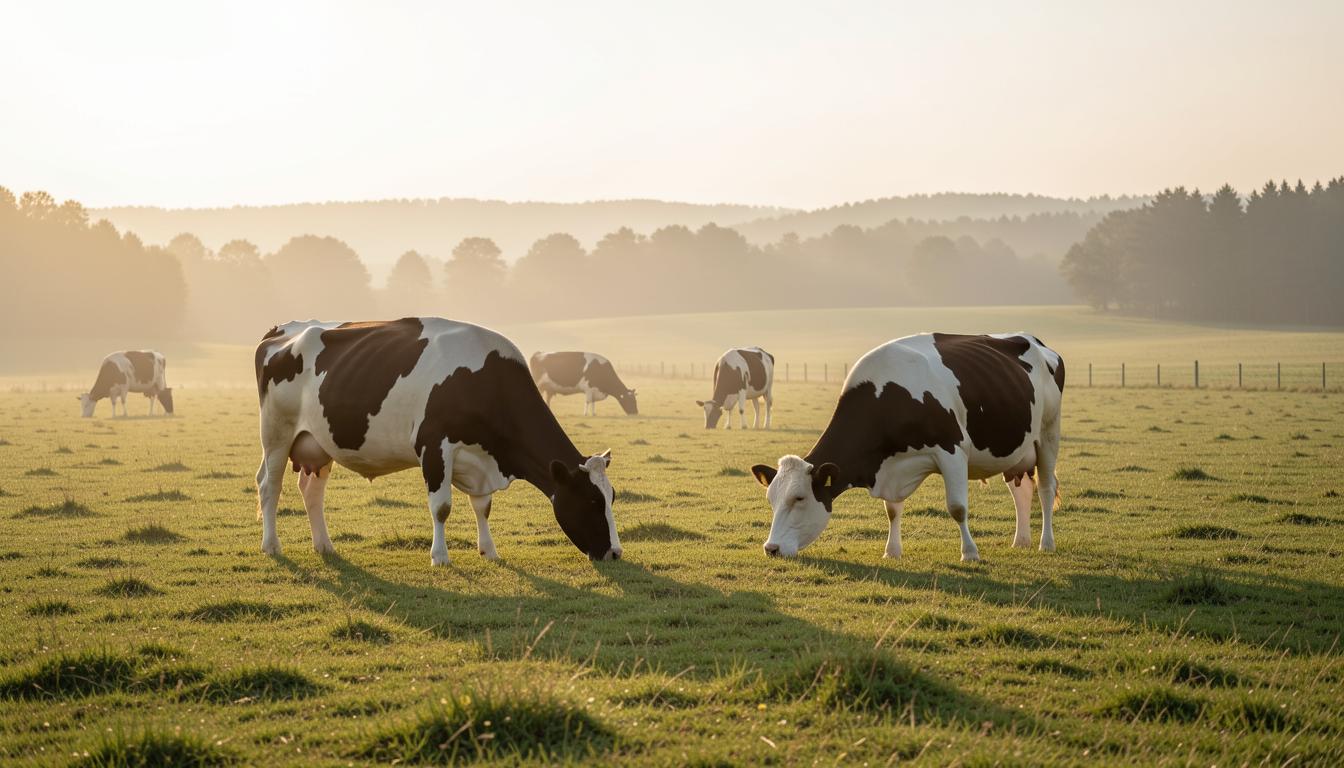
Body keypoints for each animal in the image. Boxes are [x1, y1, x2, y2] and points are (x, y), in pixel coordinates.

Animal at [254, 318, 623, 565]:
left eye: (612, 498)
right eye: (592, 501)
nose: (615, 552)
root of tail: (282, 330)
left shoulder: (480, 458)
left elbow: (482, 506)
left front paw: (489, 550)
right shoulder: (435, 446)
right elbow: (442, 507)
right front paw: (440, 556)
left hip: (318, 443)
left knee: (312, 491)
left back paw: (325, 546)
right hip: (276, 433)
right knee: (269, 485)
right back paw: (272, 546)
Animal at [750, 333, 1063, 562]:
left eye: (799, 498)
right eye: (771, 499)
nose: (771, 548)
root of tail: (1034, 340)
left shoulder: (952, 451)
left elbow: (957, 508)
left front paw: (970, 553)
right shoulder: (891, 466)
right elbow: (892, 510)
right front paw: (892, 551)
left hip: (1048, 433)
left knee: (1046, 489)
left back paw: (1046, 543)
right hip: (1016, 451)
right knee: (1021, 491)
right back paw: (1020, 541)